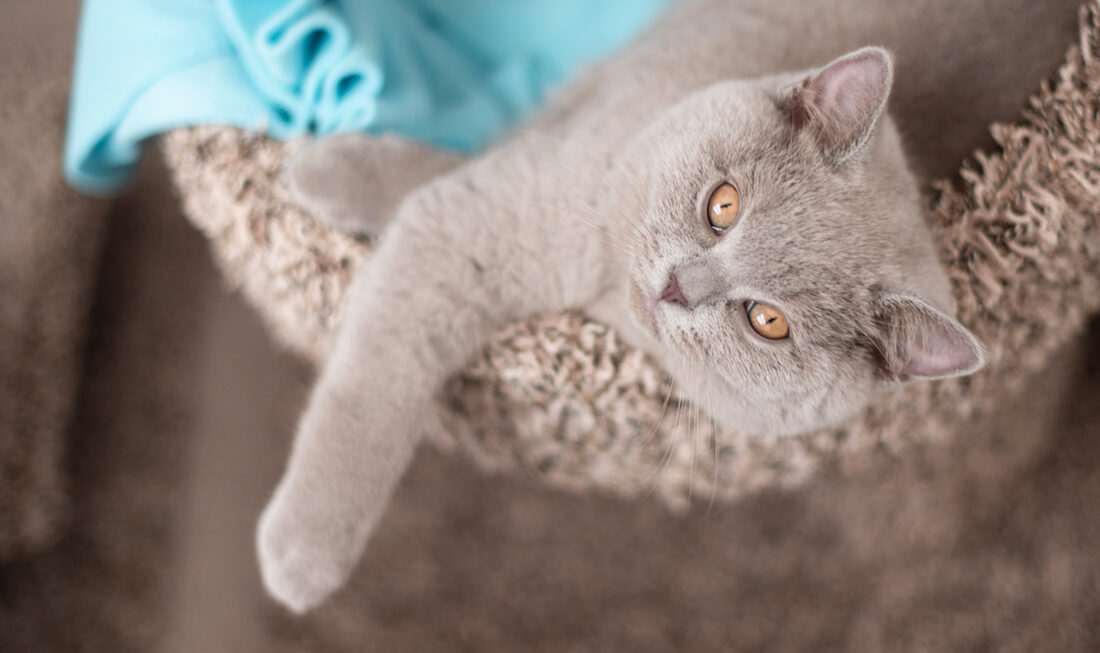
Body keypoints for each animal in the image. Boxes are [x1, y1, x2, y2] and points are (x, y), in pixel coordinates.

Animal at [255, 0, 1082, 611]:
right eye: (723, 205)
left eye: (767, 321)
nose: (680, 286)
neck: (599, 276)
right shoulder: (525, 180)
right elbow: (372, 388)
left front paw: (299, 553)